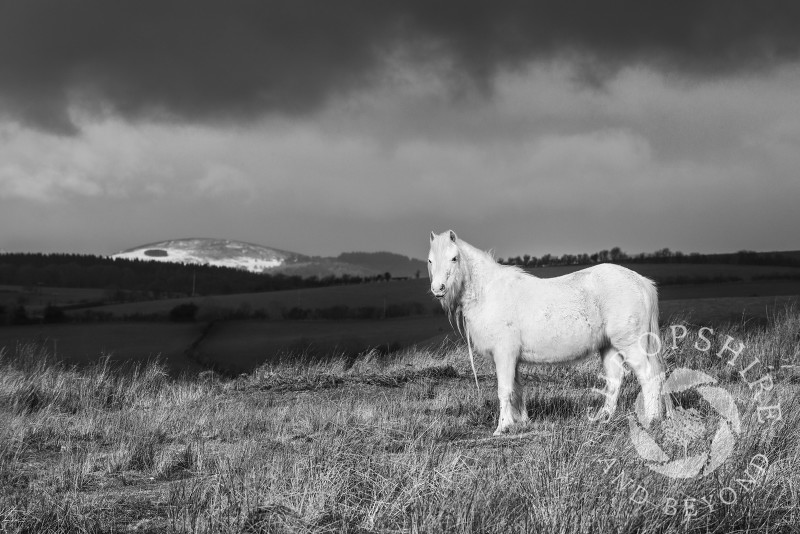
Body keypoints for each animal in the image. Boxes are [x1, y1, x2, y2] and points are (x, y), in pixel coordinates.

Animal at [428, 229, 672, 436]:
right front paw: (521, 422)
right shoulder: (513, 358)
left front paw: (502, 427)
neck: (488, 292)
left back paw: (651, 420)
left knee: (649, 377)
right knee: (615, 381)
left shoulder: (504, 355)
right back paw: (603, 419)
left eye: (454, 258)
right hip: (610, 347)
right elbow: (517, 389)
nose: (438, 289)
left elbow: (504, 390)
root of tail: (642, 282)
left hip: (632, 346)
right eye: (430, 260)